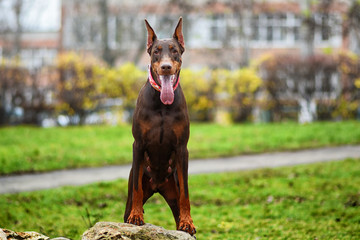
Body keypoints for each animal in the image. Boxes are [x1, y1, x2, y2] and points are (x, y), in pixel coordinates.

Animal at [124, 17, 197, 235]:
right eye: (156, 51)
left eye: (174, 50)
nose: (165, 67)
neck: (162, 104)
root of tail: (157, 186)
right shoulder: (138, 144)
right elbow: (137, 189)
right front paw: (136, 216)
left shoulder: (182, 148)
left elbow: (186, 192)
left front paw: (188, 221)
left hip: (172, 188)